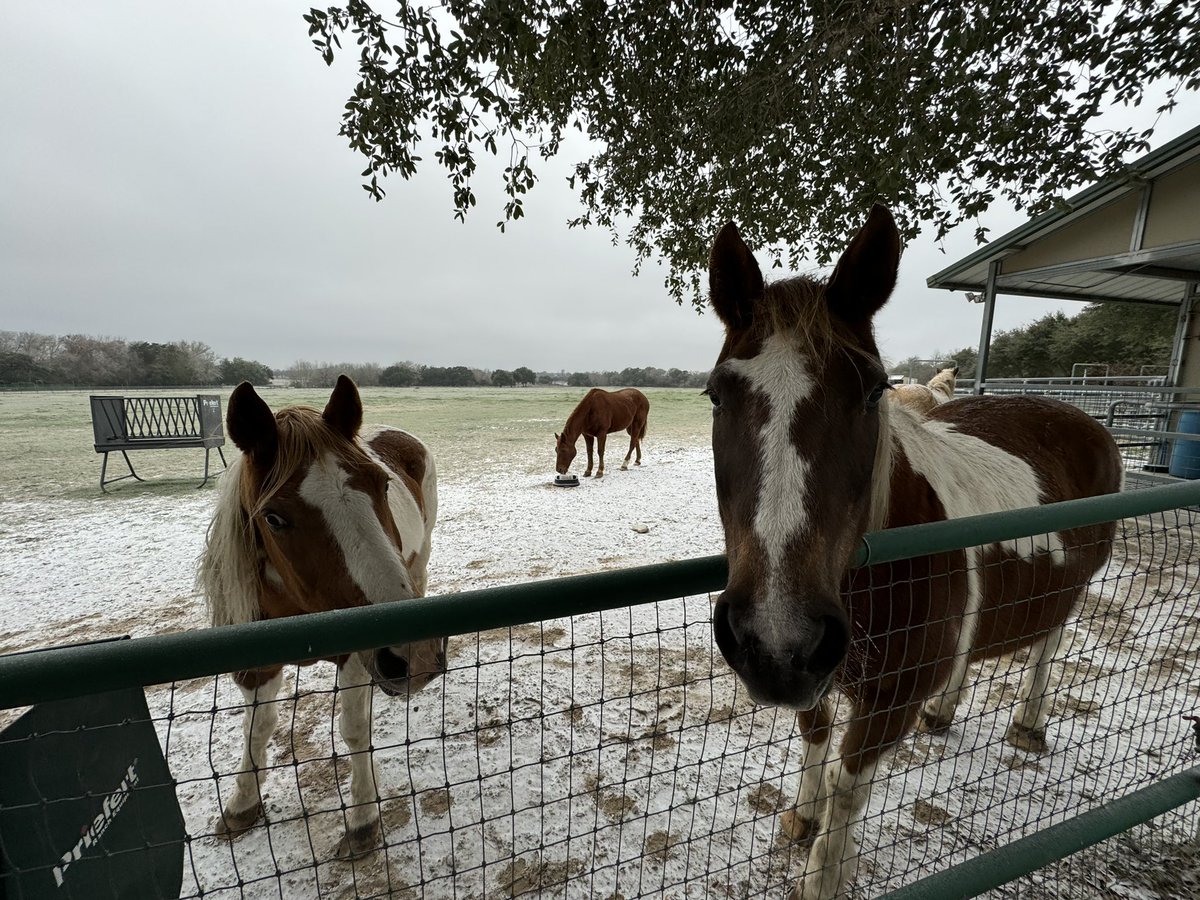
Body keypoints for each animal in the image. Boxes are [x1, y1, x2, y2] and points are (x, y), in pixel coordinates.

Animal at [199, 376, 444, 864]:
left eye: (383, 486)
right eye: (274, 517)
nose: (416, 655)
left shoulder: (357, 653)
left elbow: (353, 730)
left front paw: (363, 820)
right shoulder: (257, 665)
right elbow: (257, 728)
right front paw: (242, 802)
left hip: (420, 560)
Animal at [700, 207, 1123, 900]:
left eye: (874, 392)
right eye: (715, 394)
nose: (776, 639)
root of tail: (1077, 416)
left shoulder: (885, 704)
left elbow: (849, 785)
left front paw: (824, 873)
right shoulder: (816, 676)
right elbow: (816, 735)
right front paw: (802, 816)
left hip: (1072, 589)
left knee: (1046, 645)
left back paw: (1029, 724)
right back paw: (945, 709)